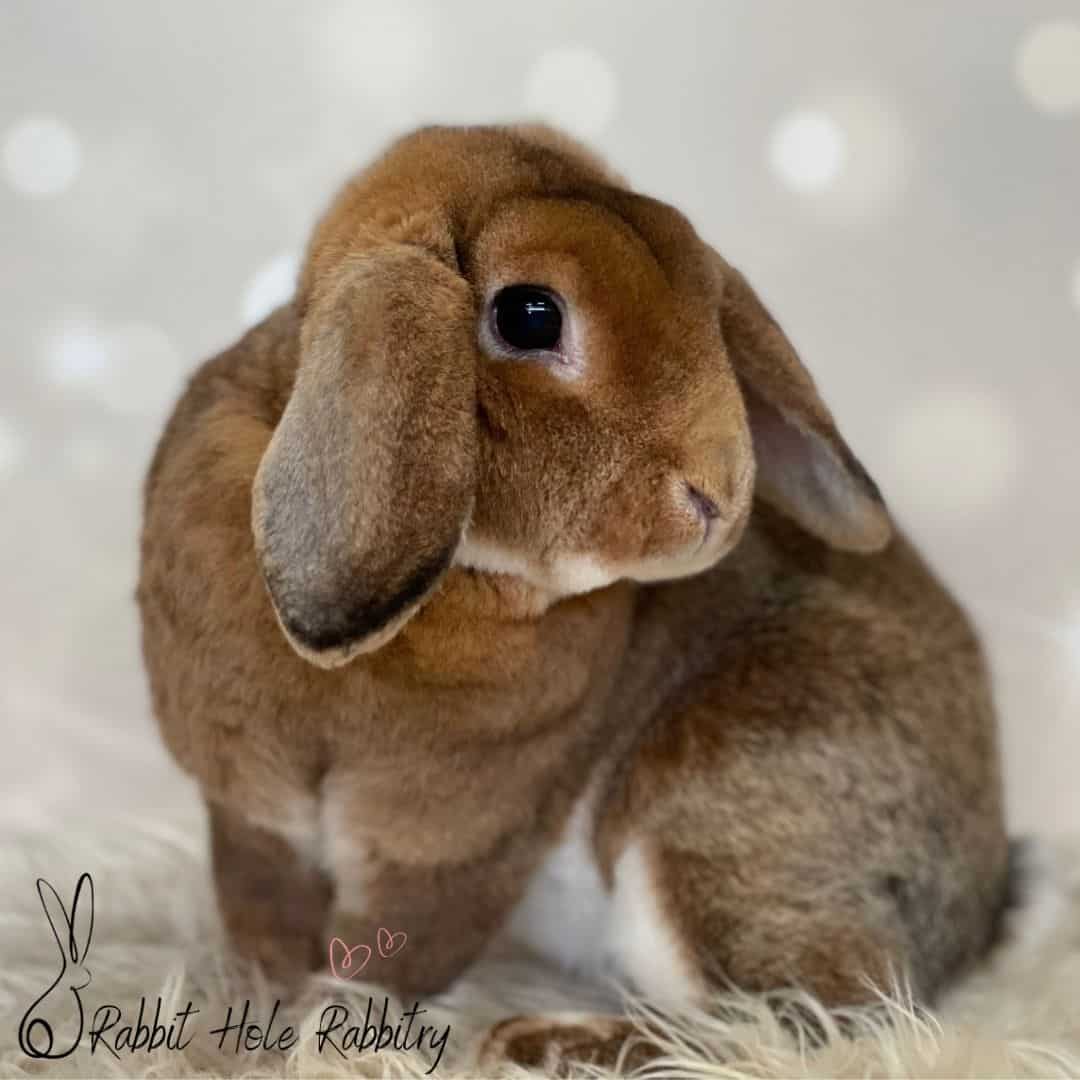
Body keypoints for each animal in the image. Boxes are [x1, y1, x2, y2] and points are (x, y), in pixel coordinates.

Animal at [136, 124, 1009, 1071]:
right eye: (530, 315)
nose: (718, 493)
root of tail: (976, 909)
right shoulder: (254, 820)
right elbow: (267, 934)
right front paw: (242, 1036)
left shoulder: (453, 846)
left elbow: (385, 958)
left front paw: (326, 1044)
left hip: (705, 827)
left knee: (804, 1020)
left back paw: (544, 1042)